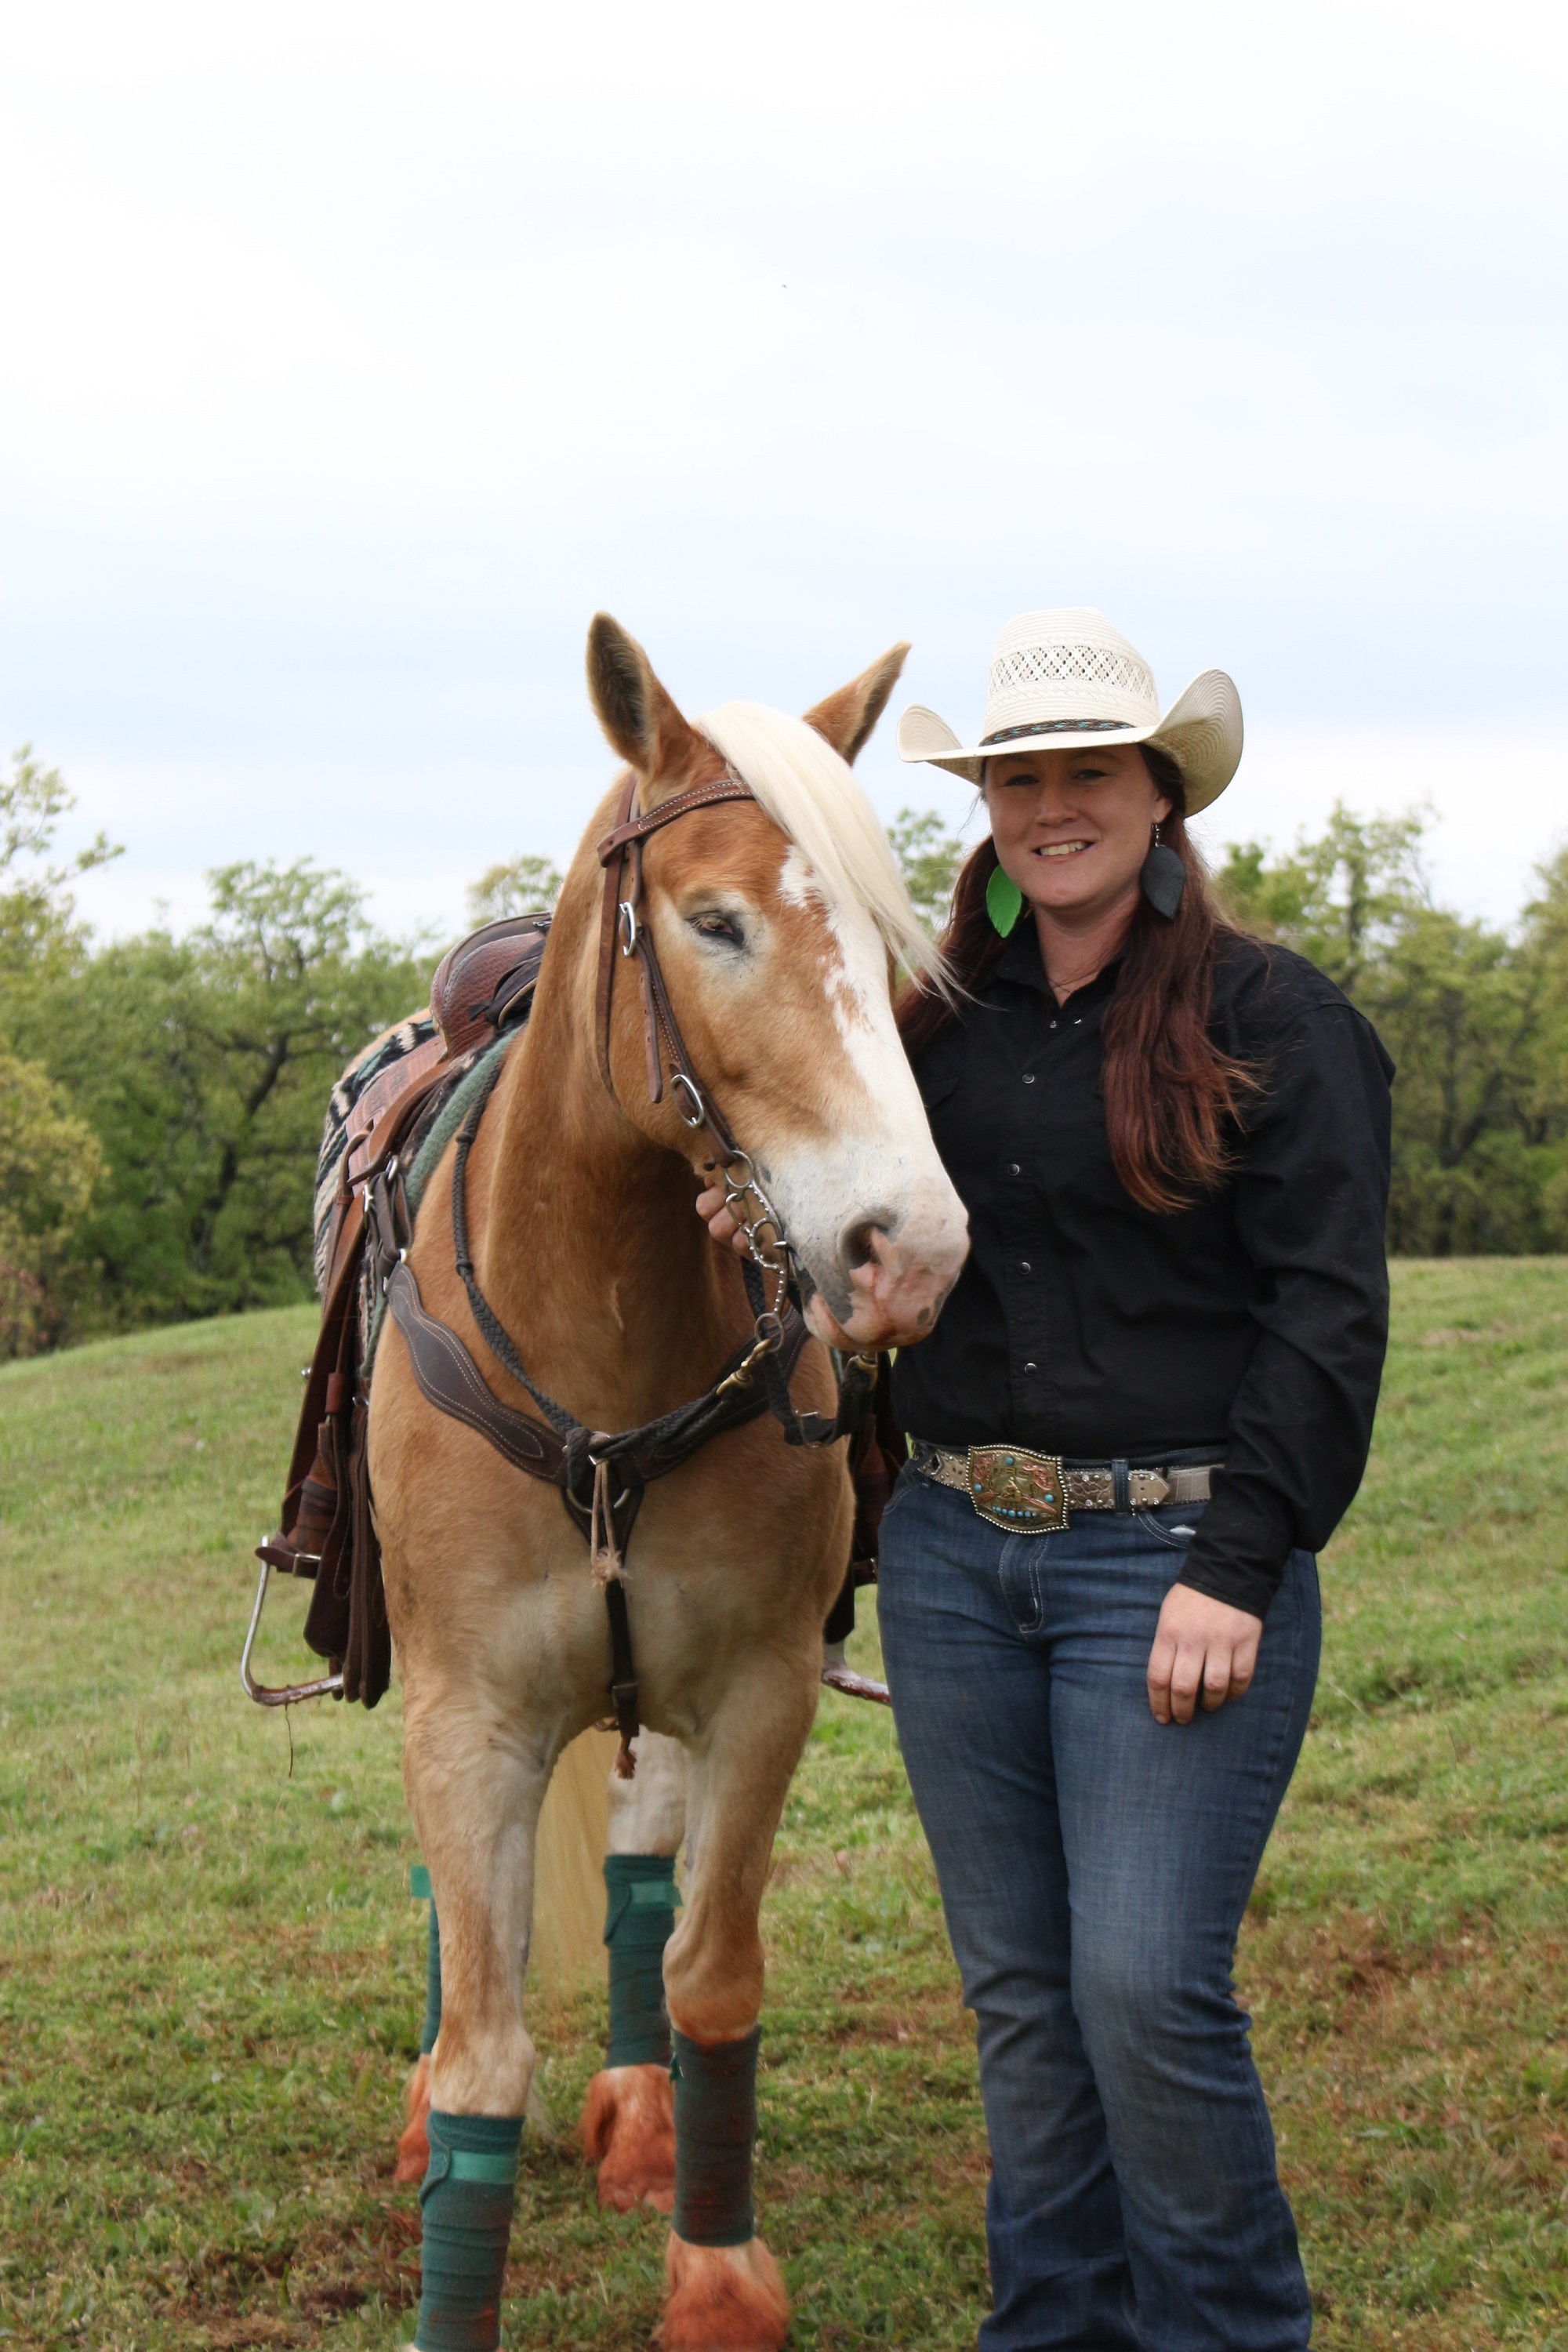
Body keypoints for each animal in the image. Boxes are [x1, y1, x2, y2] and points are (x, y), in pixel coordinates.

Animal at [376, 621, 968, 2352]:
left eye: (887, 930)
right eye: (713, 921)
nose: (911, 1249)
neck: (599, 1343)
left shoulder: (758, 1689)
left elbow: (710, 1972)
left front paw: (712, 2275)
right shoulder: (467, 1718)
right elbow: (483, 2053)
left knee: (642, 1873)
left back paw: (640, 2120)